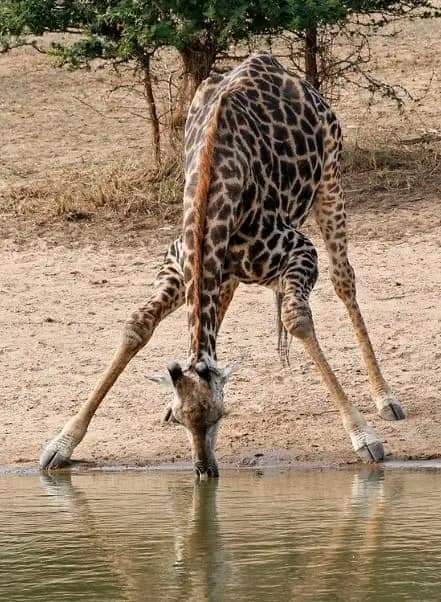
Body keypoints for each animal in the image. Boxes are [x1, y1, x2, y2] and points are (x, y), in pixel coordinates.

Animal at [39, 52, 404, 474]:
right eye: (180, 419)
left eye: (220, 416)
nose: (204, 470)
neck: (212, 198)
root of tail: (272, 61)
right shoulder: (179, 264)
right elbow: (137, 326)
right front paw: (62, 442)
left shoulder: (300, 251)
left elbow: (297, 319)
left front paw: (363, 436)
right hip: (228, 267)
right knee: (222, 302)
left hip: (331, 175)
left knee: (344, 279)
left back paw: (385, 397)